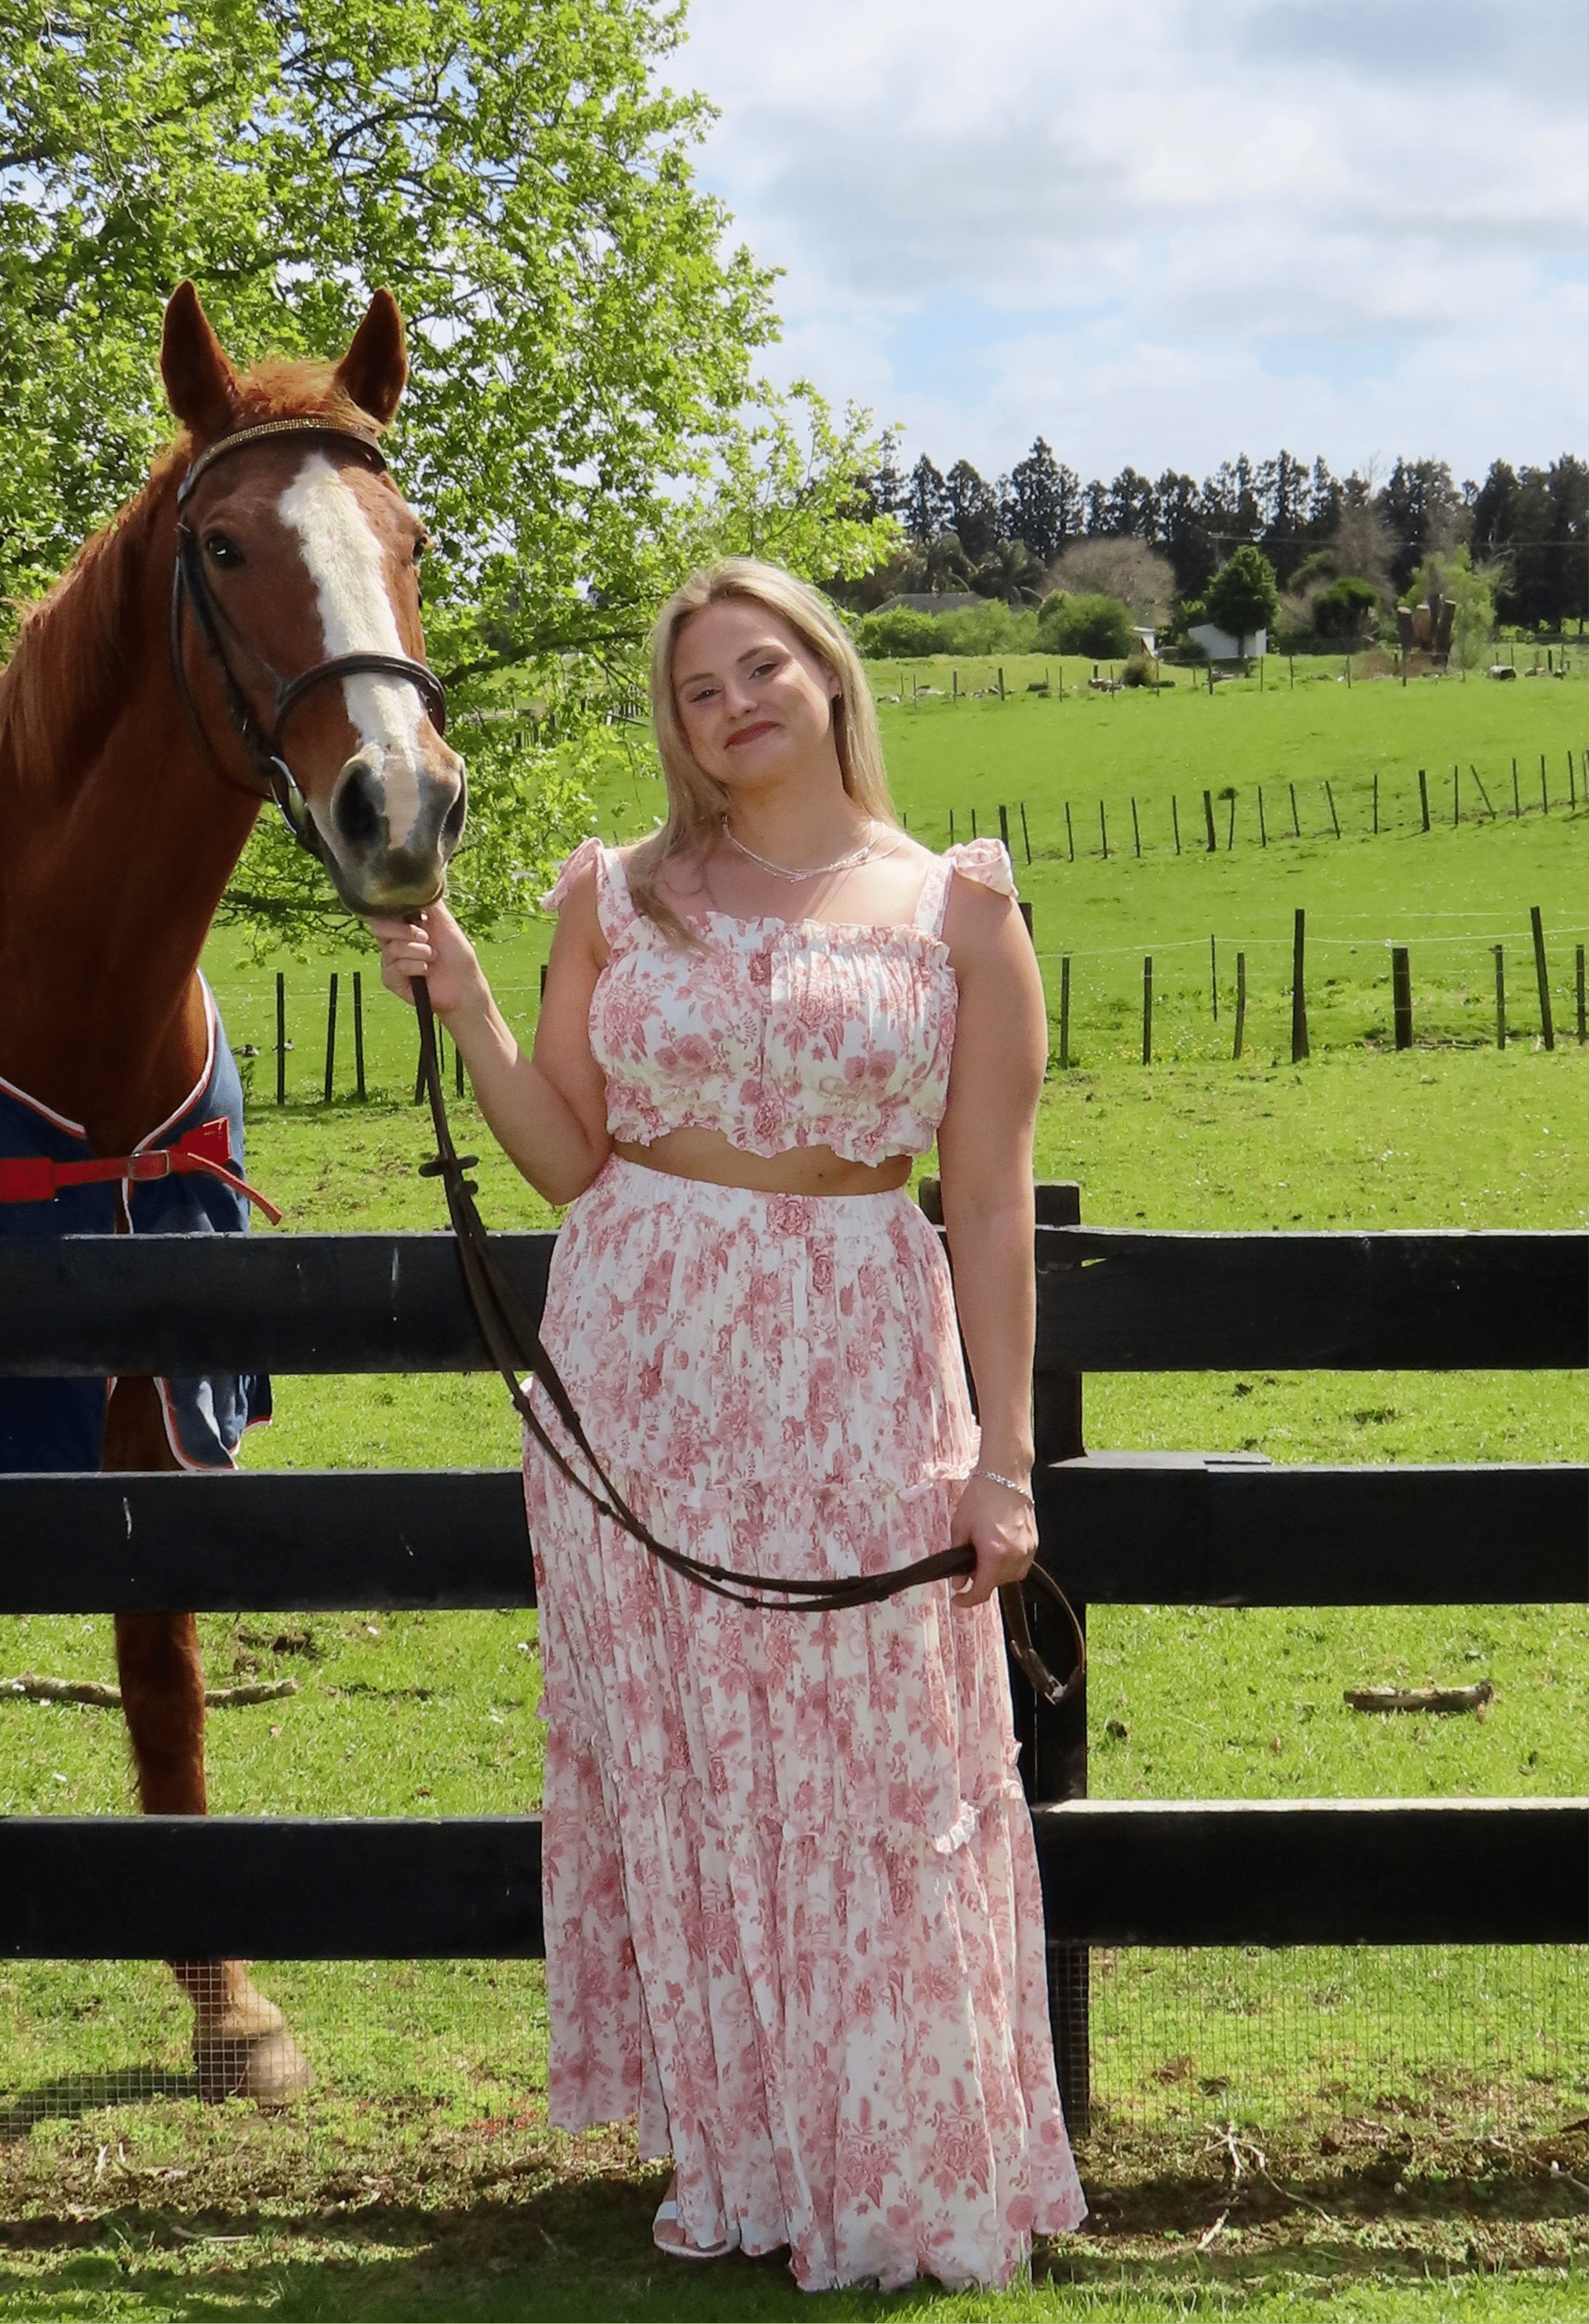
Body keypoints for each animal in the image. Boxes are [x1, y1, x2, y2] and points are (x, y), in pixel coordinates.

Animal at [1, 281, 464, 2101]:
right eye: (221, 545)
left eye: (413, 539)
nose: (401, 804)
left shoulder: (152, 1352)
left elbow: (163, 1650)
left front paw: (225, 1996)